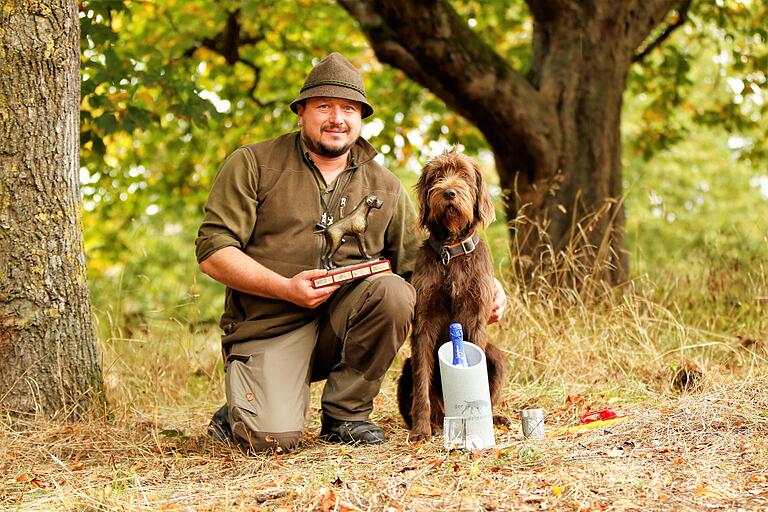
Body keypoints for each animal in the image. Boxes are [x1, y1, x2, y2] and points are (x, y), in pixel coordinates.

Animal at [400, 147, 508, 440]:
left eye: (463, 174)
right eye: (437, 175)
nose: (449, 192)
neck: (451, 251)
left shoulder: (475, 318)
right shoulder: (423, 323)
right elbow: (422, 385)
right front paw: (421, 430)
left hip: (496, 357)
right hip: (405, 368)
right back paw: (437, 424)